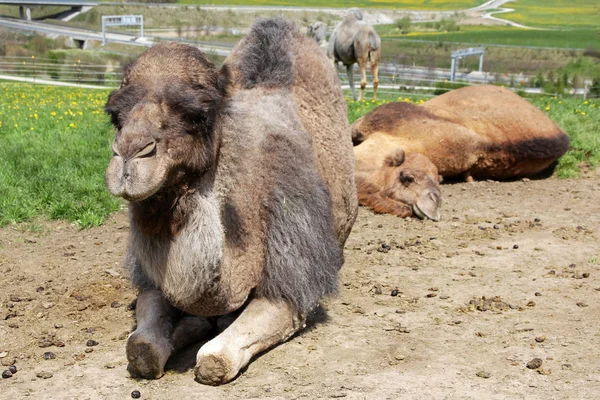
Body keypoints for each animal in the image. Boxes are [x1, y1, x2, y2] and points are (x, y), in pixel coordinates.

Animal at [103, 18, 356, 384]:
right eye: (114, 115)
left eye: (197, 115)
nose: (129, 155)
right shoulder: (152, 283)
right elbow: (142, 347)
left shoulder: (292, 268)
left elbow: (215, 359)